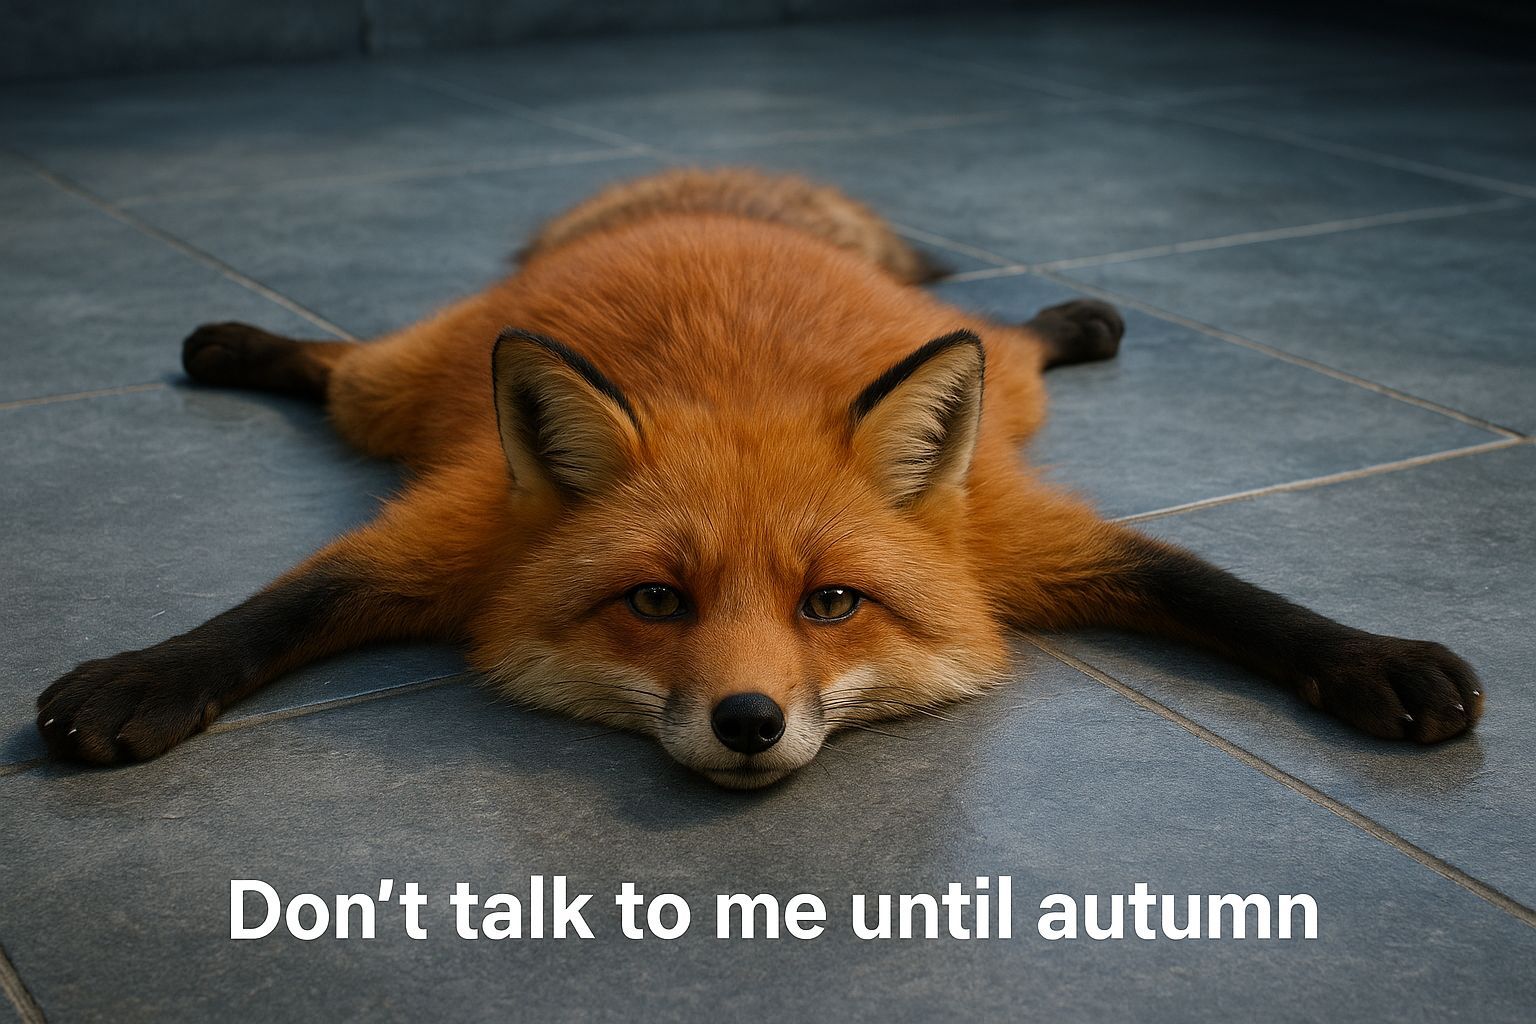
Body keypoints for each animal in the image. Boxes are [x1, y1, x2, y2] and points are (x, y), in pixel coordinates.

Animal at [36, 167, 1483, 788]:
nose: (746, 722)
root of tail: (704, 204)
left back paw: (1081, 314)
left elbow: (1215, 587)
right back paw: (233, 344)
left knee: (1013, 339)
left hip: (1000, 396)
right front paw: (142, 680)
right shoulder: (457, 524)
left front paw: (1376, 661)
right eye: (655, 602)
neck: (742, 396)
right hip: (400, 395)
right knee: (338, 363)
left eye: (831, 602)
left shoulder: (1008, 530)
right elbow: (284, 606)